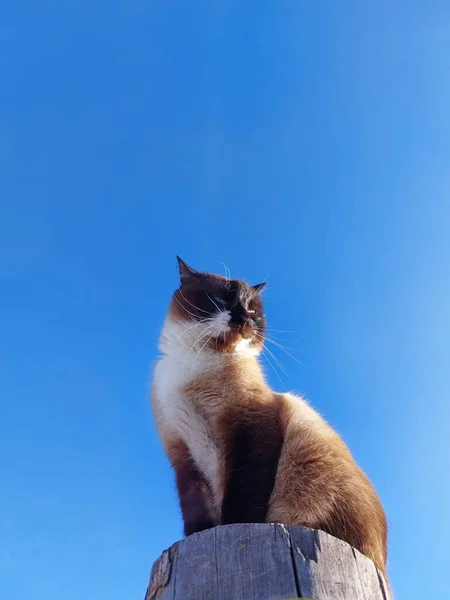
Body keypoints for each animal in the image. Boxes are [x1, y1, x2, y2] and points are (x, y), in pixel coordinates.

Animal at [150, 256, 386, 580]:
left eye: (252, 311)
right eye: (220, 300)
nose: (242, 320)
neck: (196, 365)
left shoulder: (249, 429)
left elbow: (242, 497)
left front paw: (231, 526)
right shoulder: (182, 455)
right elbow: (195, 510)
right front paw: (200, 533)